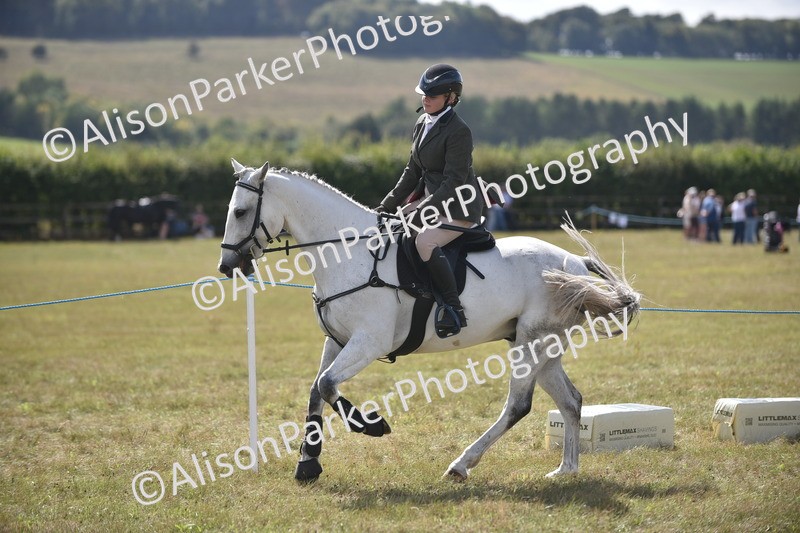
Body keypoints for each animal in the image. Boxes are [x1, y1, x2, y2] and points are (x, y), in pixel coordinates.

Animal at [217, 159, 641, 483]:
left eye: (240, 212)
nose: (227, 266)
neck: (349, 253)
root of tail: (573, 263)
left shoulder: (369, 342)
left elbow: (327, 385)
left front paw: (372, 425)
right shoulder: (336, 341)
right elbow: (316, 390)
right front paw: (308, 464)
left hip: (532, 343)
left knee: (518, 405)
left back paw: (461, 464)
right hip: (544, 346)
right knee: (570, 401)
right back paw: (566, 469)